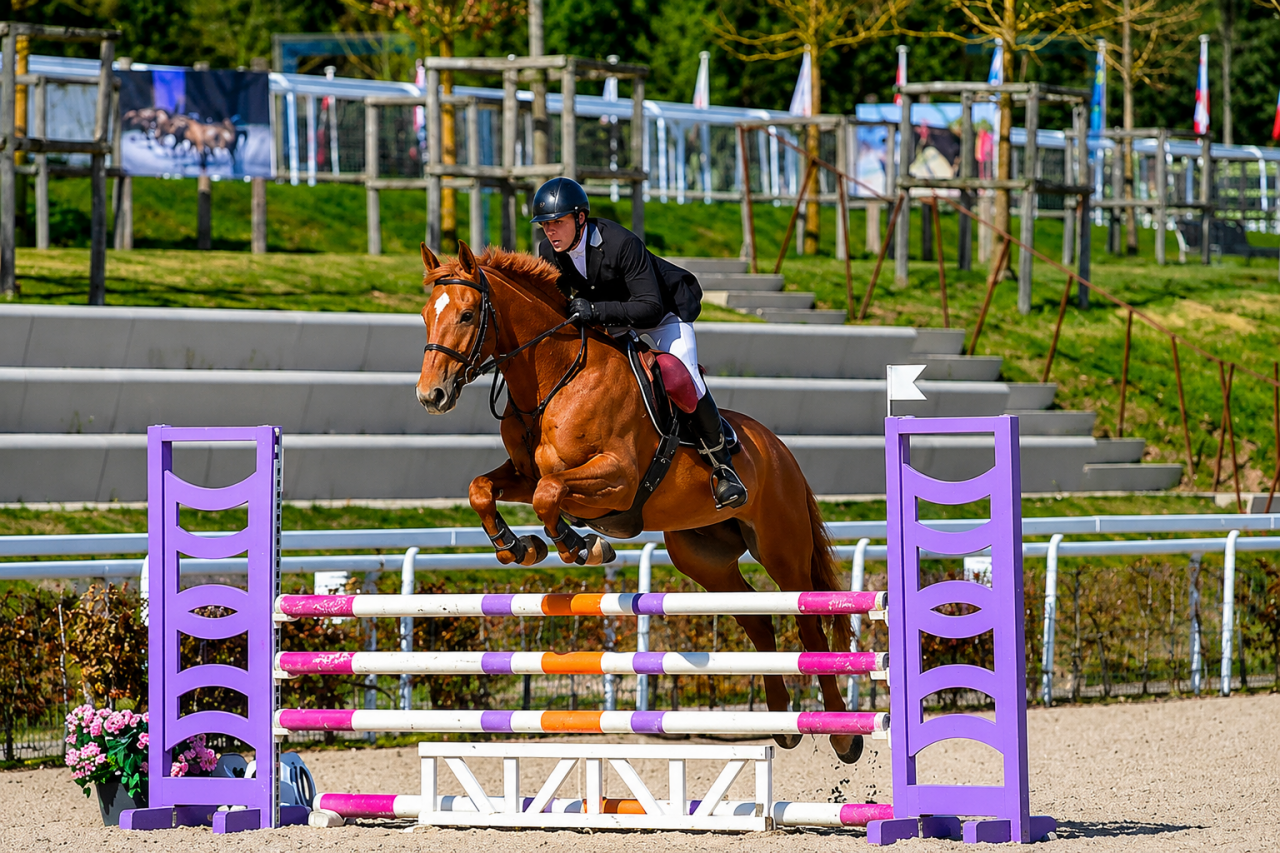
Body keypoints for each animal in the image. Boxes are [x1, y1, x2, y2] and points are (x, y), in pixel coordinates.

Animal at [415, 241, 864, 764]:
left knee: (809, 625)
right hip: (702, 557)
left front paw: (580, 546)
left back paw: (843, 734)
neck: (554, 378)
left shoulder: (617, 479)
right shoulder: (526, 474)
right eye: (426, 315)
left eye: (467, 314)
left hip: (782, 548)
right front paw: (517, 547)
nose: (431, 395)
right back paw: (780, 721)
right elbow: (482, 488)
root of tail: (780, 450)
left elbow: (551, 496)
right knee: (757, 620)